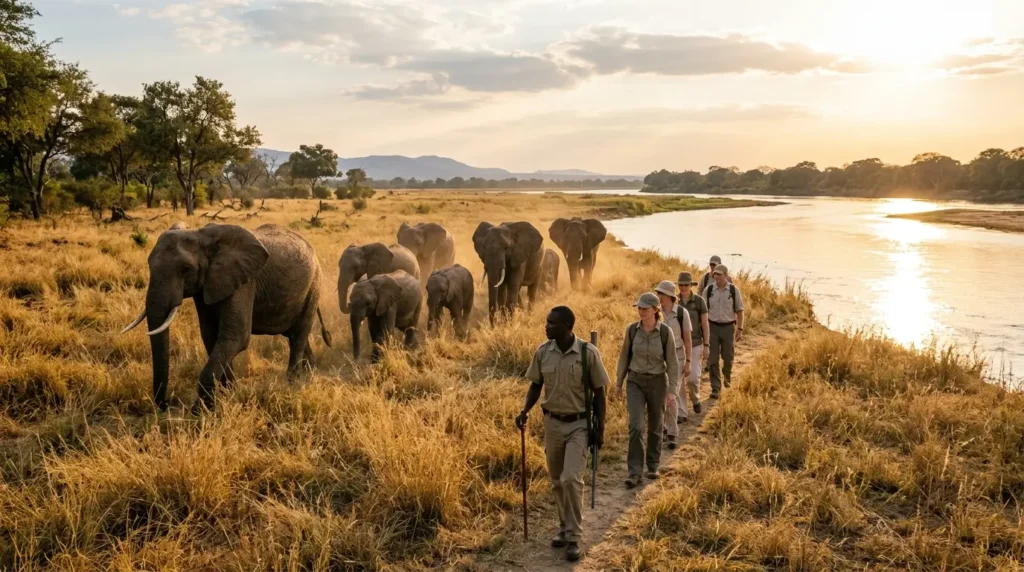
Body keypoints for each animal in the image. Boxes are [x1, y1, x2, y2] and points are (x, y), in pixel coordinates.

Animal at [120, 223, 332, 413]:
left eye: (186, 269)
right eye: (149, 264)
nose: (166, 405)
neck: (201, 235)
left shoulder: (244, 282)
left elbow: (236, 336)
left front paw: (200, 411)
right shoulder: (206, 285)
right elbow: (211, 336)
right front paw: (230, 393)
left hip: (314, 284)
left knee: (299, 334)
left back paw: (292, 383)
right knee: (294, 335)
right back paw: (311, 372)